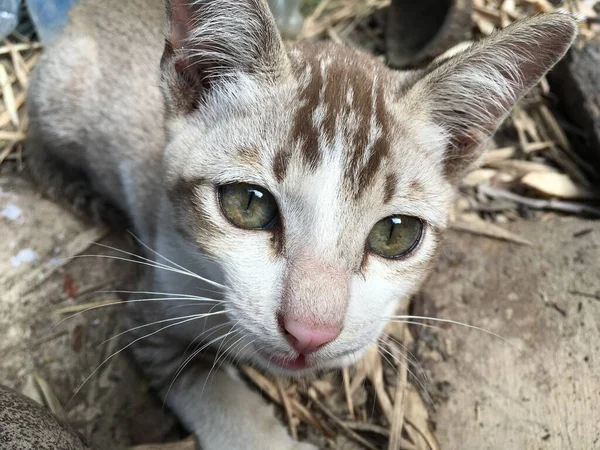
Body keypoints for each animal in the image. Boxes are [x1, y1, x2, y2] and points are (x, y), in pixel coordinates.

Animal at [25, 1, 580, 448]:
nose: (310, 332)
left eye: (396, 234)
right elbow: (215, 395)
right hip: (60, 95)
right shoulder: (151, 314)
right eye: (247, 204)